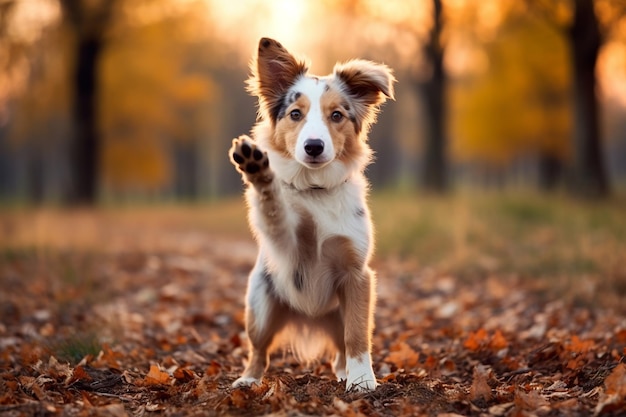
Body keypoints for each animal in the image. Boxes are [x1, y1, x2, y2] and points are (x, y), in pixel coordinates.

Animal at [229, 36, 394, 390]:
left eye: (337, 115)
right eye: (295, 113)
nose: (314, 146)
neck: (316, 189)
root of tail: (308, 317)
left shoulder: (357, 275)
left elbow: (357, 335)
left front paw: (362, 381)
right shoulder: (286, 245)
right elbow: (273, 207)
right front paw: (258, 171)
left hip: (335, 312)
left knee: (340, 348)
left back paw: (345, 371)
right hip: (261, 304)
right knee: (258, 349)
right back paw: (249, 379)